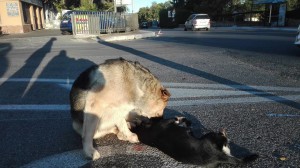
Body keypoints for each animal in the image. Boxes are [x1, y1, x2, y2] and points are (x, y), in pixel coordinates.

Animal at [130, 116, 258, 167]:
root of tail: (218, 156)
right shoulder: (167, 122)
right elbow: (177, 119)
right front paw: (185, 121)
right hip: (212, 136)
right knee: (224, 139)